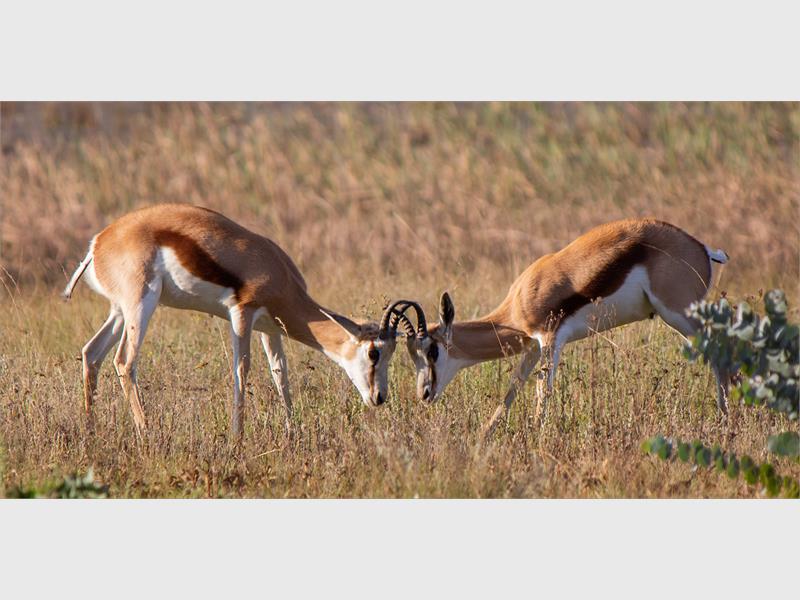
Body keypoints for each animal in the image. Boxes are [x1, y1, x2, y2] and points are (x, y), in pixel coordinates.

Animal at [63, 203, 412, 438]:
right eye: (373, 352)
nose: (379, 397)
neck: (279, 275)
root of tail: (99, 242)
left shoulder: (270, 329)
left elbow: (280, 374)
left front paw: (292, 433)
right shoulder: (241, 315)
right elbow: (241, 371)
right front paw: (238, 437)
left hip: (119, 311)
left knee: (91, 353)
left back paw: (91, 432)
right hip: (140, 306)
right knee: (124, 360)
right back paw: (147, 432)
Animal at [398, 218, 730, 435]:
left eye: (432, 350)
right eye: (412, 354)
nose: (424, 394)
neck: (519, 300)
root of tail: (702, 248)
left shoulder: (550, 339)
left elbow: (542, 390)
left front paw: (536, 436)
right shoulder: (532, 346)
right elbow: (513, 388)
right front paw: (485, 436)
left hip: (679, 315)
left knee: (722, 352)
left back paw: (726, 419)